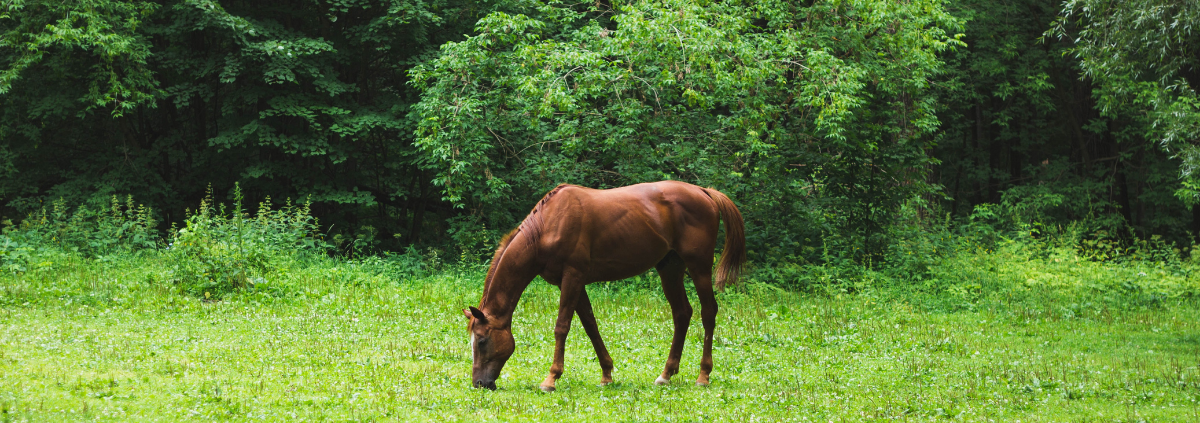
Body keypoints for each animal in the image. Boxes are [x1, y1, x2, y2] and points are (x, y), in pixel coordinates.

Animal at [458, 180, 739, 391]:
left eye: (481, 341)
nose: (480, 383)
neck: (548, 225)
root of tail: (704, 192)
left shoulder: (572, 277)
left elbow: (562, 327)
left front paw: (551, 378)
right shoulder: (573, 282)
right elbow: (590, 325)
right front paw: (607, 373)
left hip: (699, 267)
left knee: (708, 312)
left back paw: (703, 375)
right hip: (670, 268)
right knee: (682, 314)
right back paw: (666, 374)